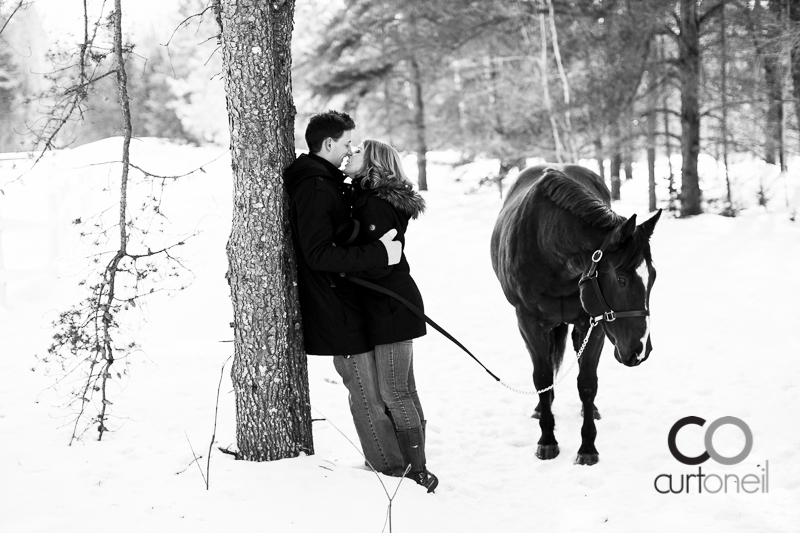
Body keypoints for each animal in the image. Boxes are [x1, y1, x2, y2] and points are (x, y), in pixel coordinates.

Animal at [490, 164, 660, 464]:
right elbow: (542, 378)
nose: (640, 350)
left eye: (653, 277)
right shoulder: (528, 323)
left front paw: (588, 447)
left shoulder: (593, 323)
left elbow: (587, 383)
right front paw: (547, 441)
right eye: (621, 279)